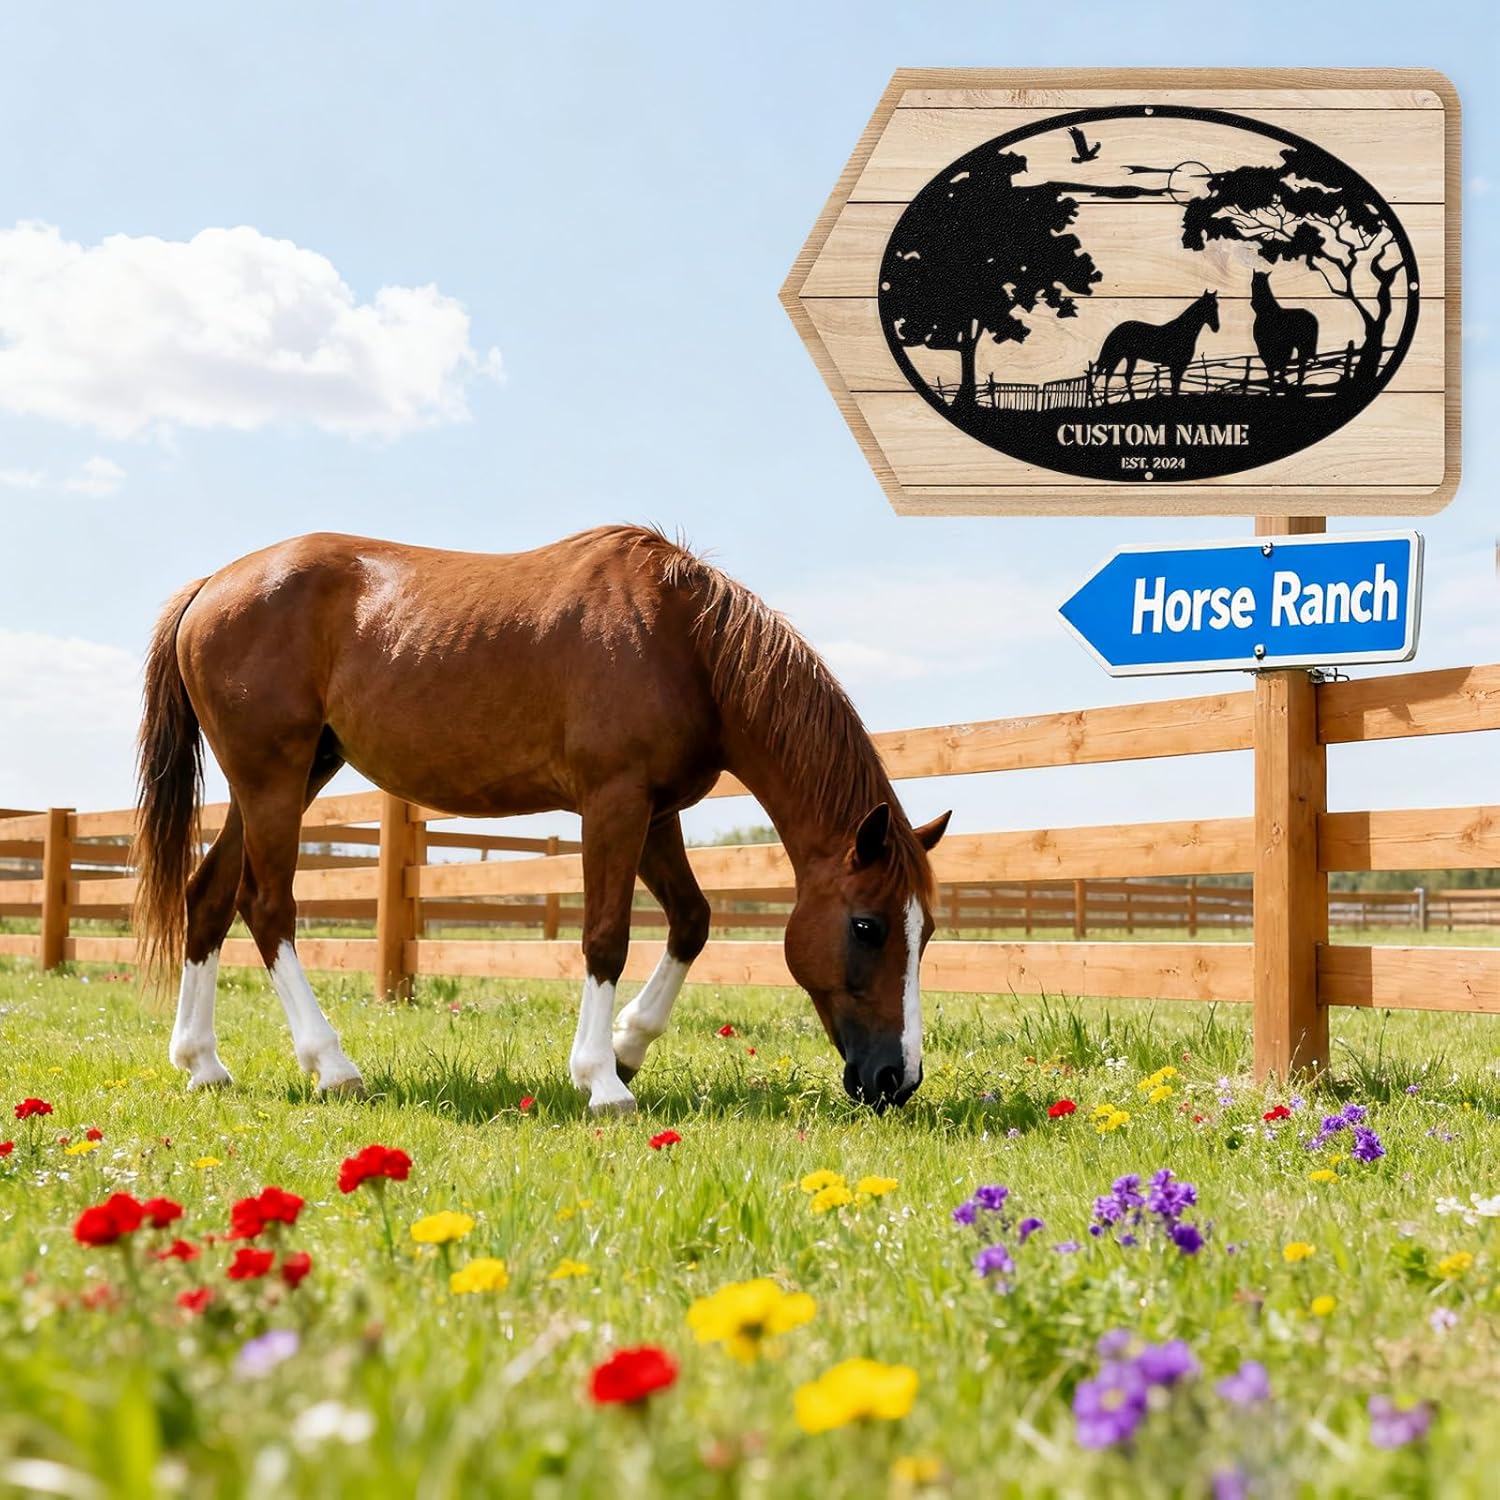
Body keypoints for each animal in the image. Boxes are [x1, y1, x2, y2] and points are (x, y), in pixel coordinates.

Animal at [134, 528, 951, 1114]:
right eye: (868, 927)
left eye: (929, 931)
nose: (897, 1080)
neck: (682, 642)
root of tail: (210, 588)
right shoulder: (613, 802)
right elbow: (605, 936)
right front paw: (601, 1080)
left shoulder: (656, 813)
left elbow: (691, 920)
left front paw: (628, 1048)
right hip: (273, 778)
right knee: (266, 906)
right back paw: (332, 1066)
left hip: (290, 777)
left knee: (209, 896)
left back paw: (203, 1065)